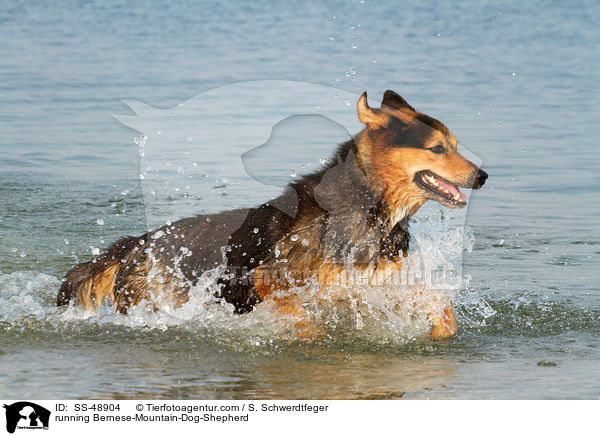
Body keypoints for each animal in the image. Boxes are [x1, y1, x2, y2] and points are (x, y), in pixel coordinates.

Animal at [56, 90, 488, 338]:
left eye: (454, 144)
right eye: (437, 149)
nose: (483, 176)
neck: (367, 206)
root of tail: (136, 244)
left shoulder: (379, 284)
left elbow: (441, 309)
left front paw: (442, 333)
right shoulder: (271, 280)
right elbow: (304, 321)